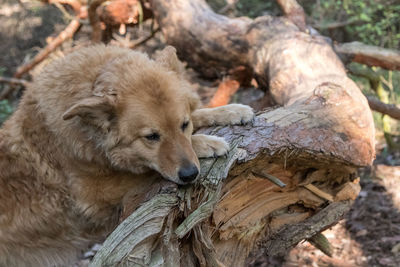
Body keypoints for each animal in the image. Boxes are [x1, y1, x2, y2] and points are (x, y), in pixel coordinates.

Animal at [0, 45, 253, 266]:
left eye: (184, 124)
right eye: (151, 137)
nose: (190, 174)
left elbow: (199, 113)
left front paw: (230, 111)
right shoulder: (97, 194)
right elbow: (149, 168)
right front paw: (206, 143)